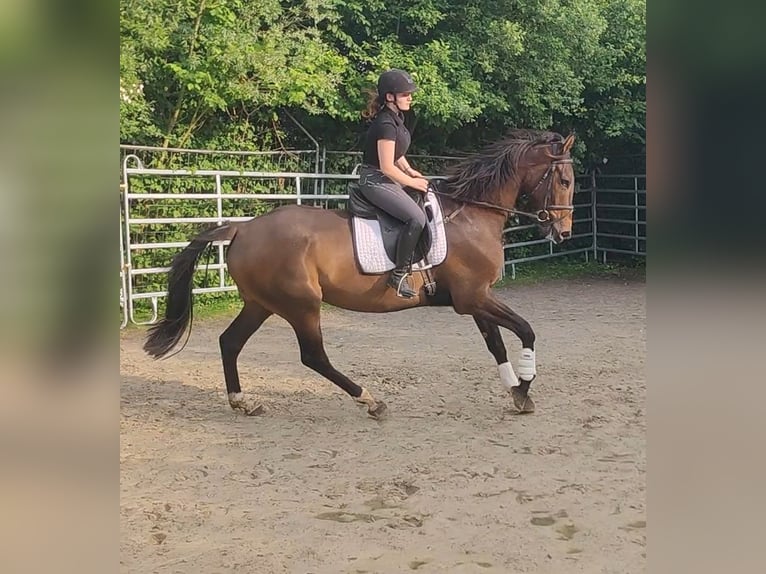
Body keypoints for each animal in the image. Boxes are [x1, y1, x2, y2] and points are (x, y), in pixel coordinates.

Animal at [143, 130, 576, 418]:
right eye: (565, 180)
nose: (564, 232)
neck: (472, 215)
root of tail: (242, 228)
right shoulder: (474, 297)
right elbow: (525, 330)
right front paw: (525, 384)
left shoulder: (473, 299)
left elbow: (496, 344)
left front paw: (517, 392)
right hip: (301, 305)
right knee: (313, 356)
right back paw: (370, 399)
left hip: (261, 303)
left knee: (230, 342)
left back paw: (242, 402)